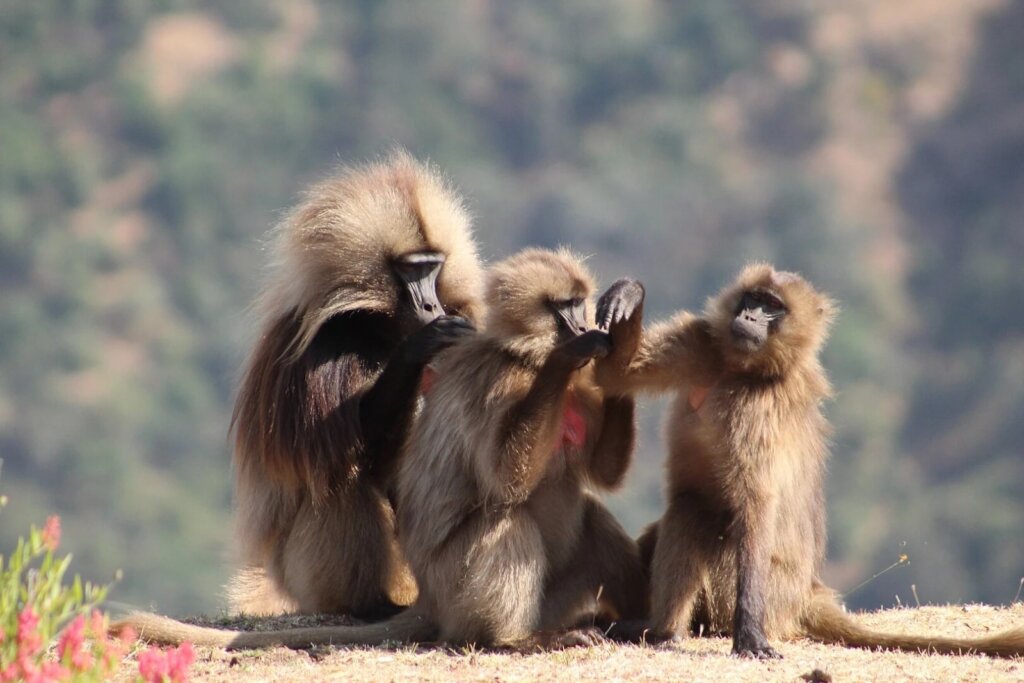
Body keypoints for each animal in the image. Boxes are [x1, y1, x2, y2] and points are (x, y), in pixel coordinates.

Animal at [112, 248, 648, 650]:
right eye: (562, 308)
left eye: (580, 303)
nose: (581, 328)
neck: (520, 355)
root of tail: (427, 600)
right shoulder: (500, 383)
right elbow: (506, 477)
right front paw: (568, 355)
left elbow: (603, 472)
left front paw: (624, 325)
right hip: (457, 591)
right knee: (504, 522)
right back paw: (514, 640)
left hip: (550, 598)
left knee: (591, 518)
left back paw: (631, 620)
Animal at [226, 150, 484, 619]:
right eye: (410, 270)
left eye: (433, 267)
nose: (431, 305)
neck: (378, 326)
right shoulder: (323, 347)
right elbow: (347, 450)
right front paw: (419, 347)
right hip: (302, 575)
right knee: (339, 476)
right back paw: (371, 604)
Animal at [606, 263, 1024, 658]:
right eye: (752, 298)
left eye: (772, 307)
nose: (749, 318)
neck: (742, 371)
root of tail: (807, 593)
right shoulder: (701, 342)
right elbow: (620, 373)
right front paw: (629, 295)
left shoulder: (759, 409)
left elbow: (758, 504)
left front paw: (749, 634)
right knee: (690, 506)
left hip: (762, 592)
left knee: (696, 511)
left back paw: (664, 634)